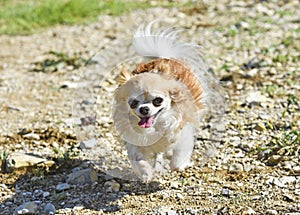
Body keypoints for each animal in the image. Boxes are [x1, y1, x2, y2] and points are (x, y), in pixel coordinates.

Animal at [112, 22, 211, 181]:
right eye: (133, 103)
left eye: (158, 100)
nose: (144, 109)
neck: (155, 126)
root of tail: (164, 58)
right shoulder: (135, 140)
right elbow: (138, 157)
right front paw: (146, 172)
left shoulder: (182, 131)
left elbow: (178, 156)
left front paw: (179, 165)